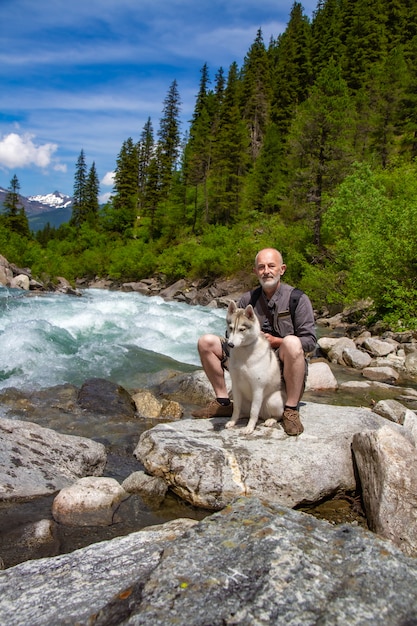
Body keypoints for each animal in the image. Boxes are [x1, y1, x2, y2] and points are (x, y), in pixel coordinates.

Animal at [224, 300, 286, 432]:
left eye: (242, 329)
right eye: (231, 328)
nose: (230, 344)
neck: (243, 352)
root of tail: (262, 416)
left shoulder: (257, 388)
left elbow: (254, 411)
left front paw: (249, 427)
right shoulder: (235, 385)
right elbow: (236, 408)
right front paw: (232, 421)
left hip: (272, 400)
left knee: (277, 415)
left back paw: (270, 420)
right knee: (243, 411)